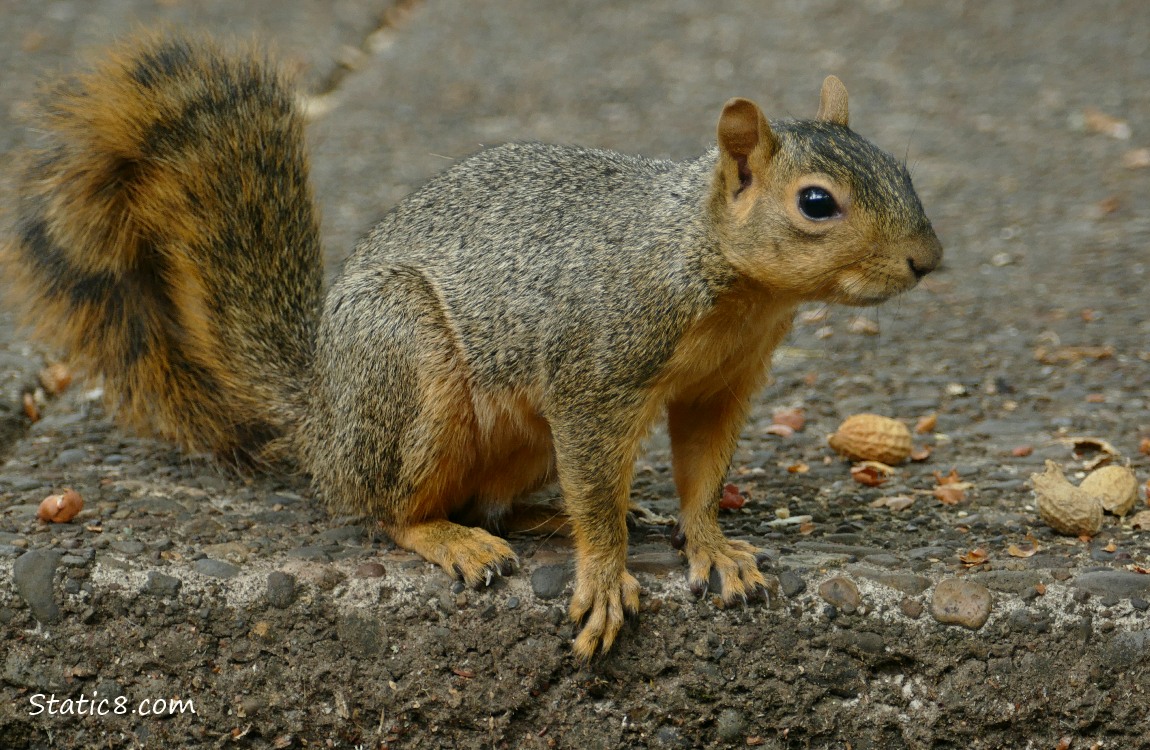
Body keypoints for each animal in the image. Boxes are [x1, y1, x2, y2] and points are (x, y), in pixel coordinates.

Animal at [4, 35, 943, 657]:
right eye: (816, 203)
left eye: (903, 169)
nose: (927, 261)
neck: (717, 272)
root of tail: (323, 421)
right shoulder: (592, 374)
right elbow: (596, 475)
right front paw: (605, 573)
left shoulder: (721, 385)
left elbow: (703, 475)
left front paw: (710, 547)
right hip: (411, 371)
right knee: (389, 508)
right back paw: (456, 540)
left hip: (516, 437)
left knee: (497, 496)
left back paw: (550, 513)